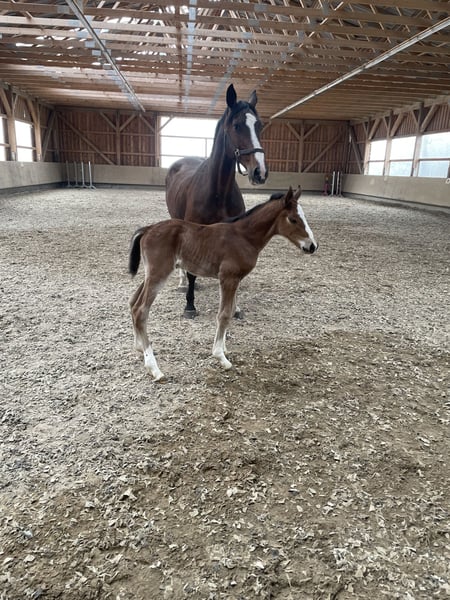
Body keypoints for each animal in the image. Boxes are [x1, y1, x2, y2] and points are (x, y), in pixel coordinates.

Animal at [129, 186, 317, 382]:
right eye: (293, 219)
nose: (312, 246)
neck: (244, 237)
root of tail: (148, 229)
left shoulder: (236, 279)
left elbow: (232, 310)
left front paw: (224, 349)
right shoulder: (228, 278)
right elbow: (224, 314)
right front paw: (220, 357)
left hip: (151, 275)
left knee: (133, 303)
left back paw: (139, 347)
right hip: (158, 274)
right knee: (141, 310)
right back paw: (154, 368)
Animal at [165, 84, 268, 318]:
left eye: (259, 126)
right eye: (237, 126)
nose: (260, 172)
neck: (218, 191)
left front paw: (235, 307)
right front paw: (190, 305)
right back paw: (182, 283)